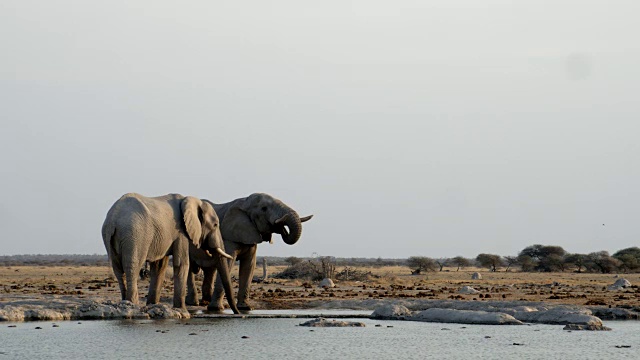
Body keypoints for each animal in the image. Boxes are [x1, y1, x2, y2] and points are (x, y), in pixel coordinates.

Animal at [100, 193, 240, 314]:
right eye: (215, 225)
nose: (239, 314)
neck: (190, 200)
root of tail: (113, 218)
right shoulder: (181, 231)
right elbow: (181, 263)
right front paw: (182, 310)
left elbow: (159, 266)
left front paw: (153, 305)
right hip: (134, 234)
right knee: (133, 267)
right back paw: (133, 305)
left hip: (109, 236)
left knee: (118, 269)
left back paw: (125, 304)